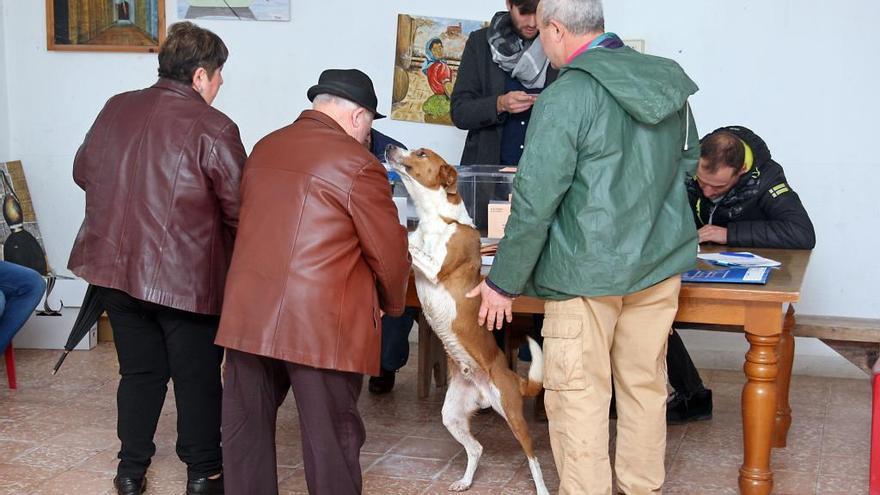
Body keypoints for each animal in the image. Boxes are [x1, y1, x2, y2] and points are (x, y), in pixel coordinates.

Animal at [388, 145, 548, 494]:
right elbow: (410, 245)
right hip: (452, 415)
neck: (436, 219)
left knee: (534, 458)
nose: (391, 147)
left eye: (421, 153)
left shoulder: (435, 267)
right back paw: (465, 481)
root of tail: (508, 378)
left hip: (513, 415)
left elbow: (410, 244)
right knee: (476, 448)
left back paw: (542, 487)